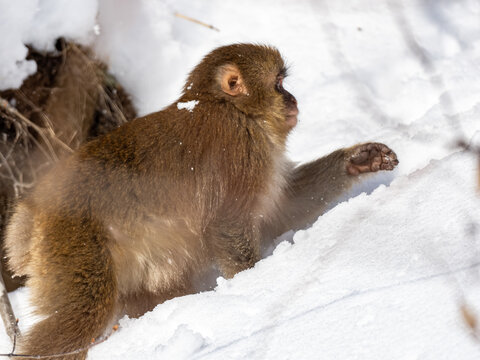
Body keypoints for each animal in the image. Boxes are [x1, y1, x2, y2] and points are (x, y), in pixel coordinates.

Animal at [4, 43, 398, 358]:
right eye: (278, 84)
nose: (293, 100)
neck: (230, 108)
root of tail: (37, 206)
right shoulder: (241, 148)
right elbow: (228, 223)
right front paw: (253, 283)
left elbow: (281, 211)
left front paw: (359, 159)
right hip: (75, 242)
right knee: (82, 316)